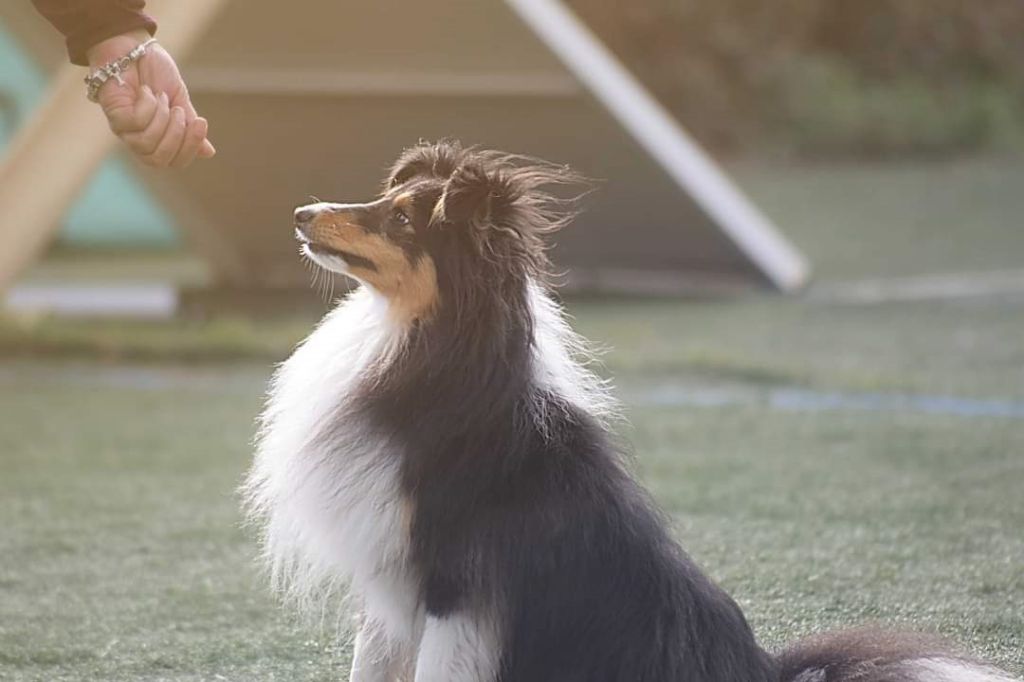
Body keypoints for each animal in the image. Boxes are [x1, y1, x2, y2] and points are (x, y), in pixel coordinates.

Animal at [241, 140, 1015, 675]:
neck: (431, 353)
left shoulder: (456, 588)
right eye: (385, 199)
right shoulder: (388, 589)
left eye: (402, 219)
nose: (301, 213)